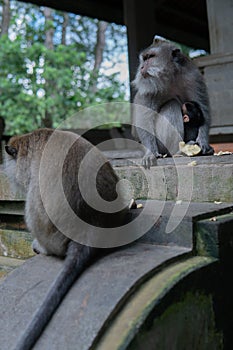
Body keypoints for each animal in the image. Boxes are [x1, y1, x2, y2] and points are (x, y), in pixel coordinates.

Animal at [132, 37, 214, 169]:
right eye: (144, 59)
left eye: (150, 57)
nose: (142, 67)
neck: (171, 77)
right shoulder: (148, 88)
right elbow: (144, 119)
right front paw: (150, 153)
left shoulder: (194, 78)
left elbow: (202, 109)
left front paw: (203, 141)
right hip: (161, 145)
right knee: (173, 104)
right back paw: (178, 151)